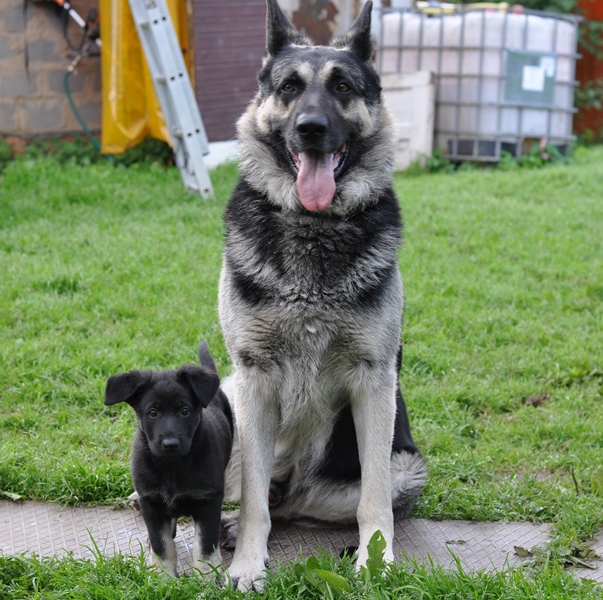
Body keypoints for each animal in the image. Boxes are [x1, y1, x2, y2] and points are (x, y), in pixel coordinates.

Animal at [105, 342, 232, 576]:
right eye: (153, 413)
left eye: (185, 411)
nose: (170, 444)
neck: (172, 466)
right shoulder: (151, 501)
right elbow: (162, 544)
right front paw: (163, 576)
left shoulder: (209, 499)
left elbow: (205, 544)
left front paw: (207, 576)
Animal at [219, 0, 428, 592]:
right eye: (289, 87)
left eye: (343, 87)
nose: (311, 129)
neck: (313, 229)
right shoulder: (254, 379)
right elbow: (253, 504)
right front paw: (248, 564)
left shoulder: (373, 383)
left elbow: (372, 500)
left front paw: (376, 561)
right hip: (225, 397)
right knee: (257, 495)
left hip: (406, 468)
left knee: (296, 504)